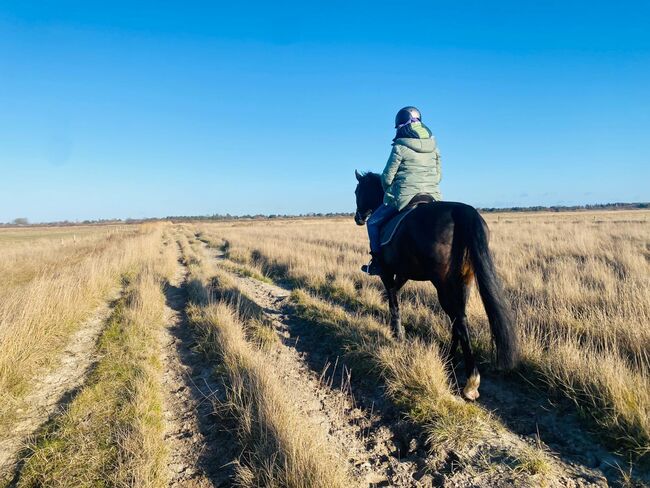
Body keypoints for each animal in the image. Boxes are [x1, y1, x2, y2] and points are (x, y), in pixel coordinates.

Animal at [352, 172, 520, 400]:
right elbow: (395, 293)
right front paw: (398, 329)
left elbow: (393, 300)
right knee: (459, 318)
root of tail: (462, 212)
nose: (358, 218)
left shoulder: (386, 272)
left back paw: (470, 382)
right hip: (464, 281)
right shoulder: (404, 273)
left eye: (358, 191)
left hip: (443, 284)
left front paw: (397, 333)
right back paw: (449, 361)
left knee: (459, 319)